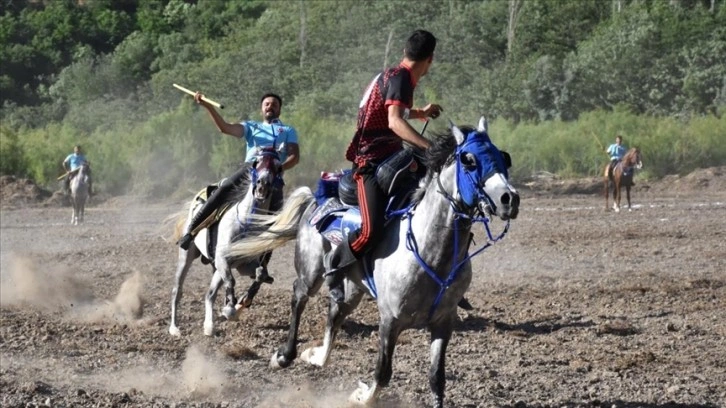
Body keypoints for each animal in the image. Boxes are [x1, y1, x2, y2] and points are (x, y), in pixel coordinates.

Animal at [171, 148, 284, 336]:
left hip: (218, 268)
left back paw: (209, 326)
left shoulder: (244, 264)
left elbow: (260, 274)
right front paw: (230, 308)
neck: (246, 223)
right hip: (186, 256)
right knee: (177, 290)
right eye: (257, 162)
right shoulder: (223, 259)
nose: (263, 184)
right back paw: (174, 328)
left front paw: (238, 304)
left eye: (278, 167)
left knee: (209, 294)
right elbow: (231, 281)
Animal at [225, 116, 520, 406]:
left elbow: (437, 379)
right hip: (310, 272)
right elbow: (383, 373)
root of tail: (316, 199)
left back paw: (316, 355)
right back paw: (284, 355)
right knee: (299, 297)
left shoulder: (444, 323)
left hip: (352, 288)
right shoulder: (390, 319)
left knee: (335, 312)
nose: (510, 199)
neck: (430, 251)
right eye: (469, 159)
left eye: (503, 157)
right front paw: (361, 395)